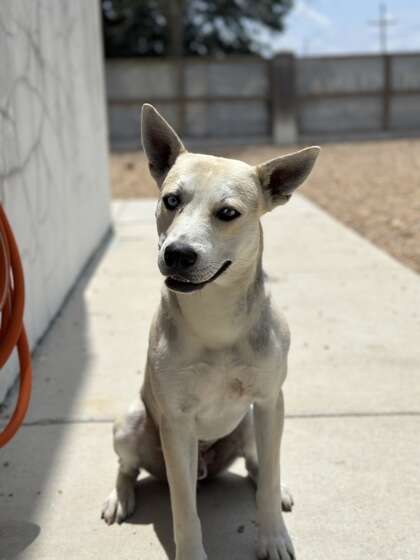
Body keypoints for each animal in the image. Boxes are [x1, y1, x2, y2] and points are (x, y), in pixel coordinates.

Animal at [101, 105, 318, 560]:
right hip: (132, 423)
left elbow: (269, 475)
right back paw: (120, 496)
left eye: (228, 213)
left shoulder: (270, 400)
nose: (178, 254)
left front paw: (273, 537)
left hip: (252, 422)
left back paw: (276, 487)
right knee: (127, 467)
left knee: (259, 465)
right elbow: (184, 506)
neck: (215, 317)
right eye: (171, 200)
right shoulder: (177, 423)